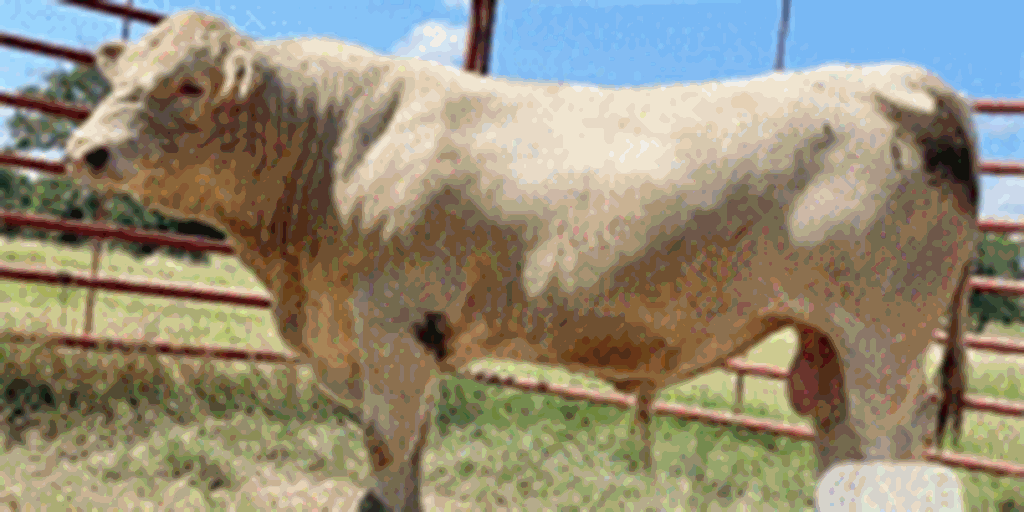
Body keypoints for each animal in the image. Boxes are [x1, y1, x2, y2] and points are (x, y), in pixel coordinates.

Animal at [64, 10, 980, 511]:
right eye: (123, 73)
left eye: (189, 85)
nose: (85, 150)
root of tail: (901, 79)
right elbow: (411, 451)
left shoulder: (392, 326)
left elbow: (387, 447)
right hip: (831, 348)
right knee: (843, 446)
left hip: (883, 341)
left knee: (894, 453)